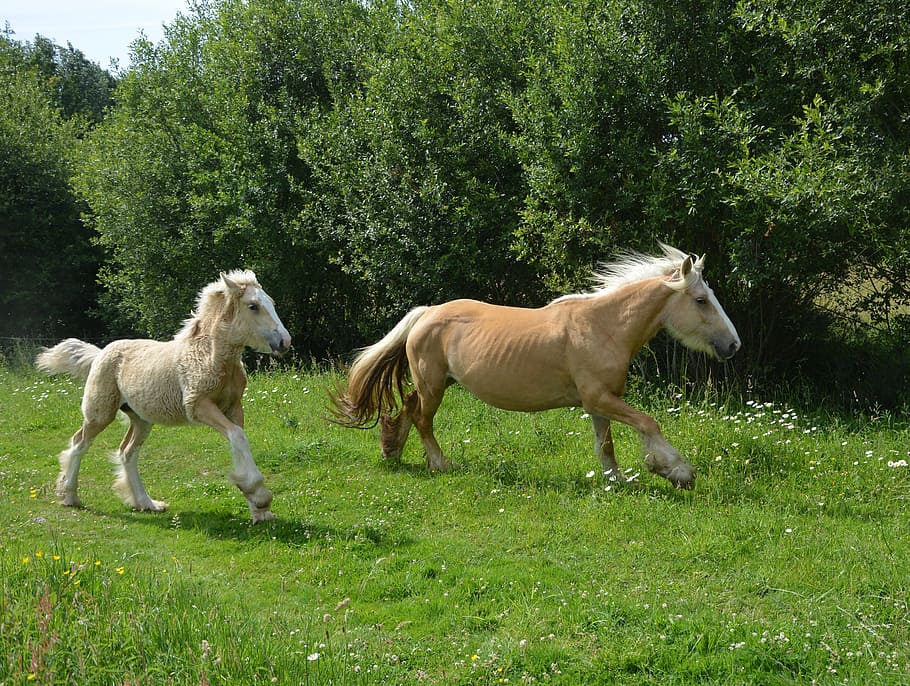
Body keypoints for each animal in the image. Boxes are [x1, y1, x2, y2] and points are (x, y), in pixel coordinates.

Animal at [36, 270, 291, 523]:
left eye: (271, 303)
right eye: (253, 306)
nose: (285, 341)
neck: (210, 356)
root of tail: (100, 353)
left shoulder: (233, 407)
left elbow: (238, 438)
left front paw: (259, 510)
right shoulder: (198, 406)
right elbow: (237, 436)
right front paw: (259, 495)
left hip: (141, 419)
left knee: (127, 452)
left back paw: (146, 503)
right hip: (100, 412)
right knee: (80, 443)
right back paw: (70, 496)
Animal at [330, 244, 740, 489]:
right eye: (701, 300)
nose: (733, 345)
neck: (602, 326)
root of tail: (427, 313)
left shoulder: (599, 402)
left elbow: (605, 444)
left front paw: (617, 480)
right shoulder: (598, 398)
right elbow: (648, 423)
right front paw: (676, 471)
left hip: (438, 382)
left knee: (407, 407)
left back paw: (392, 451)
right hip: (433, 386)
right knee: (421, 418)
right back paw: (441, 464)